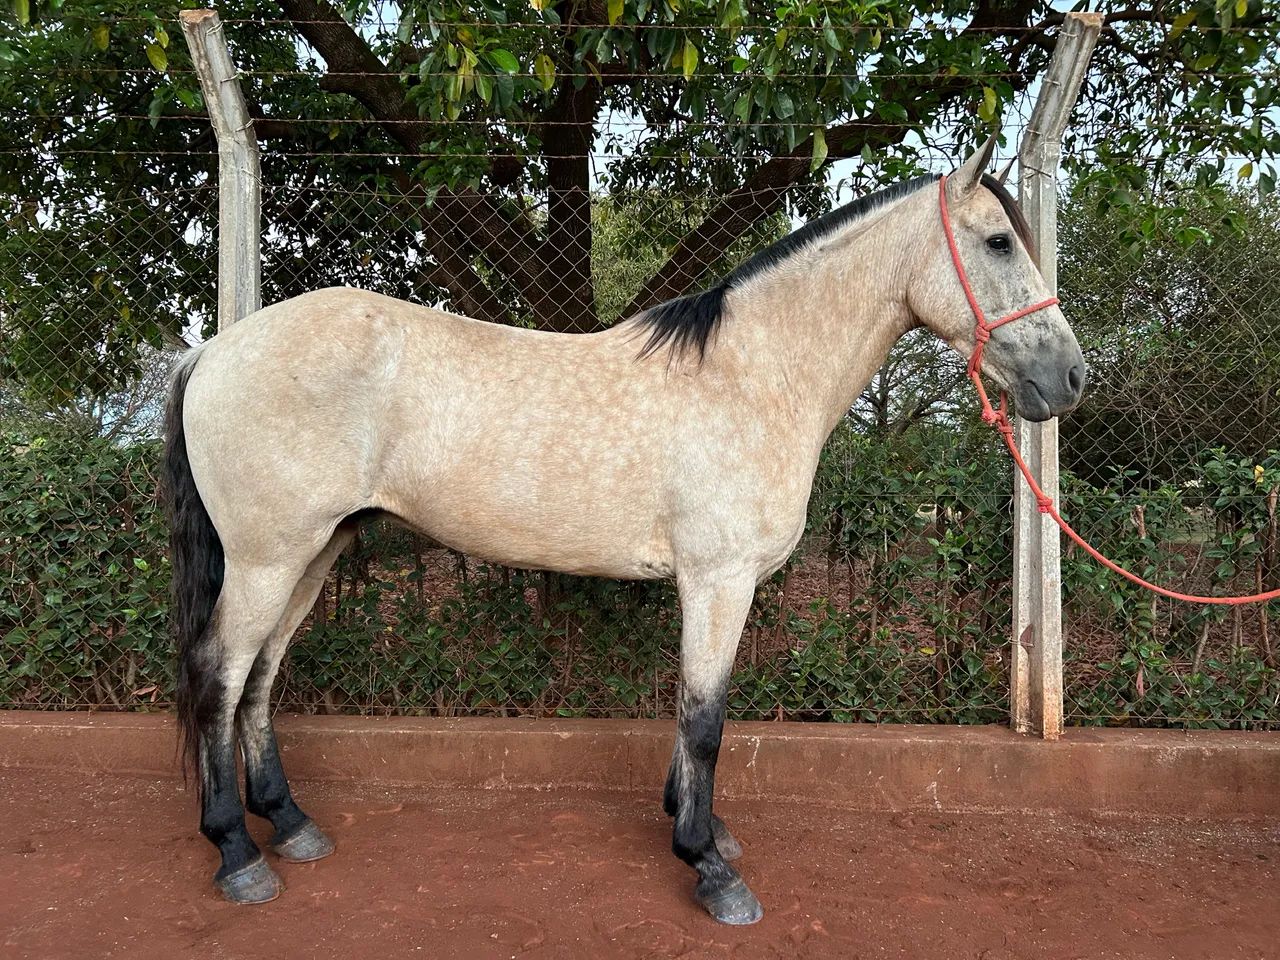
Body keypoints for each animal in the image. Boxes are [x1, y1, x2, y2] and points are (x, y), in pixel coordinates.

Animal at [163, 136, 1085, 925]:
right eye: (998, 242)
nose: (1070, 378)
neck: (752, 376)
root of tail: (212, 352)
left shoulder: (705, 585)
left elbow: (686, 710)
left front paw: (700, 831)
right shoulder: (719, 579)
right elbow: (706, 719)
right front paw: (708, 868)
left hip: (314, 553)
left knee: (260, 677)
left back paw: (290, 824)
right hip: (267, 558)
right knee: (218, 675)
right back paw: (239, 854)